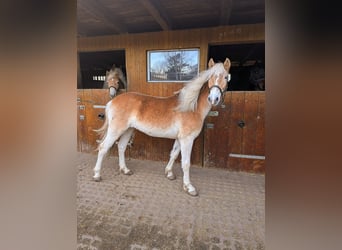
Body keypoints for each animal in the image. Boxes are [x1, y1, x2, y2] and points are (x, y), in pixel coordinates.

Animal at [95, 58, 231, 195]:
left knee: (121, 147)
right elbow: (186, 163)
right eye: (210, 77)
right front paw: (189, 187)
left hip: (128, 130)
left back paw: (125, 170)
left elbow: (174, 154)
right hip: (116, 130)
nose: (213, 98)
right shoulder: (187, 139)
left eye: (226, 77)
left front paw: (169, 173)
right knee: (103, 147)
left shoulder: (180, 138)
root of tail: (112, 102)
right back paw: (97, 175)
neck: (191, 107)